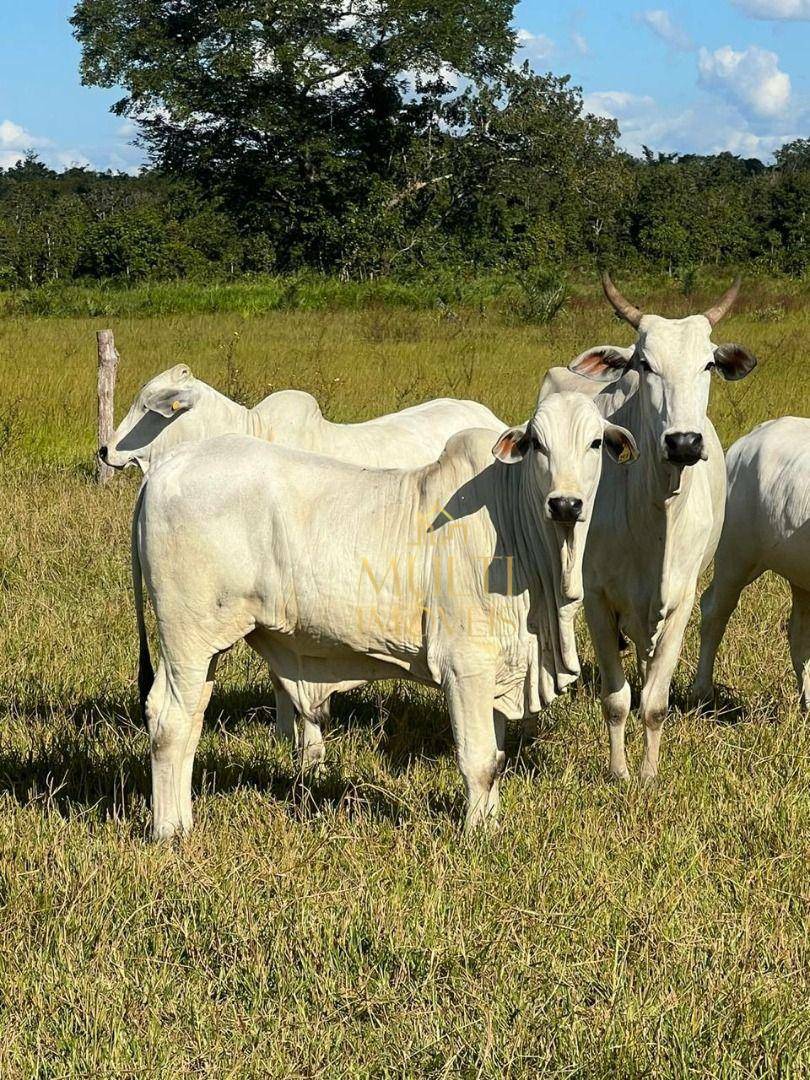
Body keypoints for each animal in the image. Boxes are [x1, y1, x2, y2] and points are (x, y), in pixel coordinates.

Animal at [133, 393, 639, 838]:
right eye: (537, 444)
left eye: (595, 443)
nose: (565, 503)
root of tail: (165, 468)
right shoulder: (466, 666)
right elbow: (477, 760)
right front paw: (477, 837)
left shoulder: (500, 668)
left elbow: (495, 760)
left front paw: (491, 823)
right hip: (185, 638)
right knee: (168, 722)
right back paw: (169, 832)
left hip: (204, 648)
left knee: (192, 718)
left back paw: (182, 820)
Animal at [540, 276, 760, 786]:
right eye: (644, 363)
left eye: (708, 363)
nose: (683, 442)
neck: (656, 513)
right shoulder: (598, 598)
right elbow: (616, 701)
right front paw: (620, 772)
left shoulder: (679, 600)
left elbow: (655, 703)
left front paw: (649, 774)